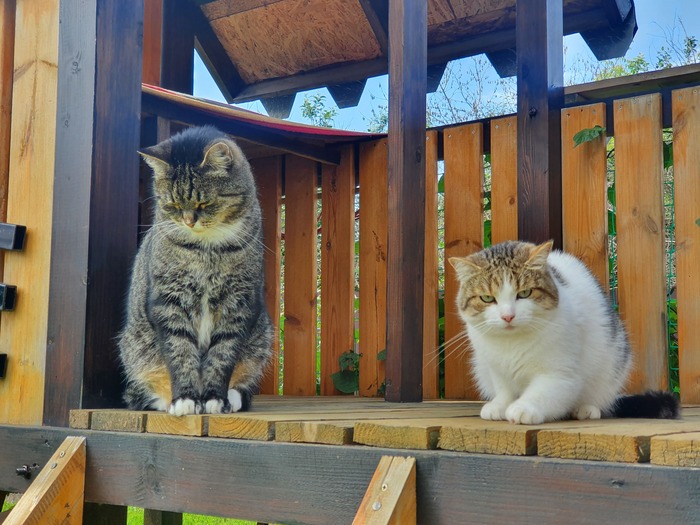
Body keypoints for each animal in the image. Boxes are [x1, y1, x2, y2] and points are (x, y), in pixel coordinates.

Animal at [118, 125, 273, 416]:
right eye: (173, 206)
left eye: (204, 204)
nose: (189, 221)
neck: (206, 247)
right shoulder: (169, 299)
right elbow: (179, 350)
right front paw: (185, 399)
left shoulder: (238, 302)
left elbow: (223, 353)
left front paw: (215, 398)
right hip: (134, 345)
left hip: (262, 334)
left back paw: (233, 396)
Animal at [449, 240, 679, 425]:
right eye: (487, 298)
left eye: (525, 293)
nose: (507, 316)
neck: (512, 343)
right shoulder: (496, 368)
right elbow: (504, 388)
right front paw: (500, 405)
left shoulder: (560, 375)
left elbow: (542, 392)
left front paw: (523, 408)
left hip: (613, 361)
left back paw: (587, 408)